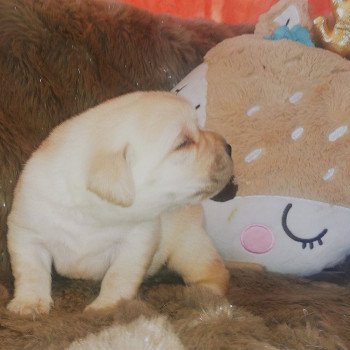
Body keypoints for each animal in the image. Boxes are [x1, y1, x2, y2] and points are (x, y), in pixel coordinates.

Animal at [6, 91, 232, 316]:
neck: (91, 214)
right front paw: (29, 302)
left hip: (188, 245)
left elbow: (118, 276)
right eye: (183, 143)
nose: (229, 147)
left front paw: (108, 306)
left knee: (214, 270)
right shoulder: (26, 233)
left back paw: (203, 295)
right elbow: (32, 271)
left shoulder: (136, 242)